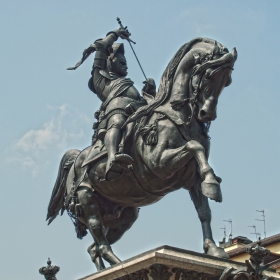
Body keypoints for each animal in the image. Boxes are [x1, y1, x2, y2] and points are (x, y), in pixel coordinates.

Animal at [47, 37, 237, 272]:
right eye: (210, 75)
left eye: (228, 80)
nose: (206, 114)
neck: (176, 114)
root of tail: (75, 161)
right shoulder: (160, 164)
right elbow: (194, 147)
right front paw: (213, 184)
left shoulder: (192, 177)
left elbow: (204, 212)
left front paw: (213, 250)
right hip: (87, 199)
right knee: (99, 238)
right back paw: (120, 265)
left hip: (122, 215)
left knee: (95, 247)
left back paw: (107, 268)